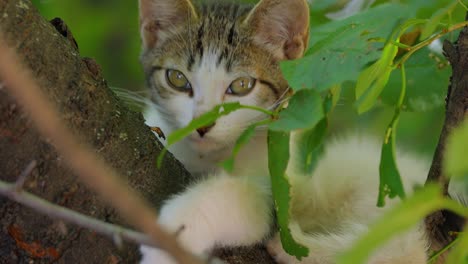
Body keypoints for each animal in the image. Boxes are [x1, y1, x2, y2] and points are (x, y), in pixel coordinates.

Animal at [136, 0, 428, 264]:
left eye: (241, 85)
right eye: (177, 79)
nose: (201, 124)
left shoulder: (279, 186)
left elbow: (246, 194)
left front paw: (174, 233)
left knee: (402, 249)